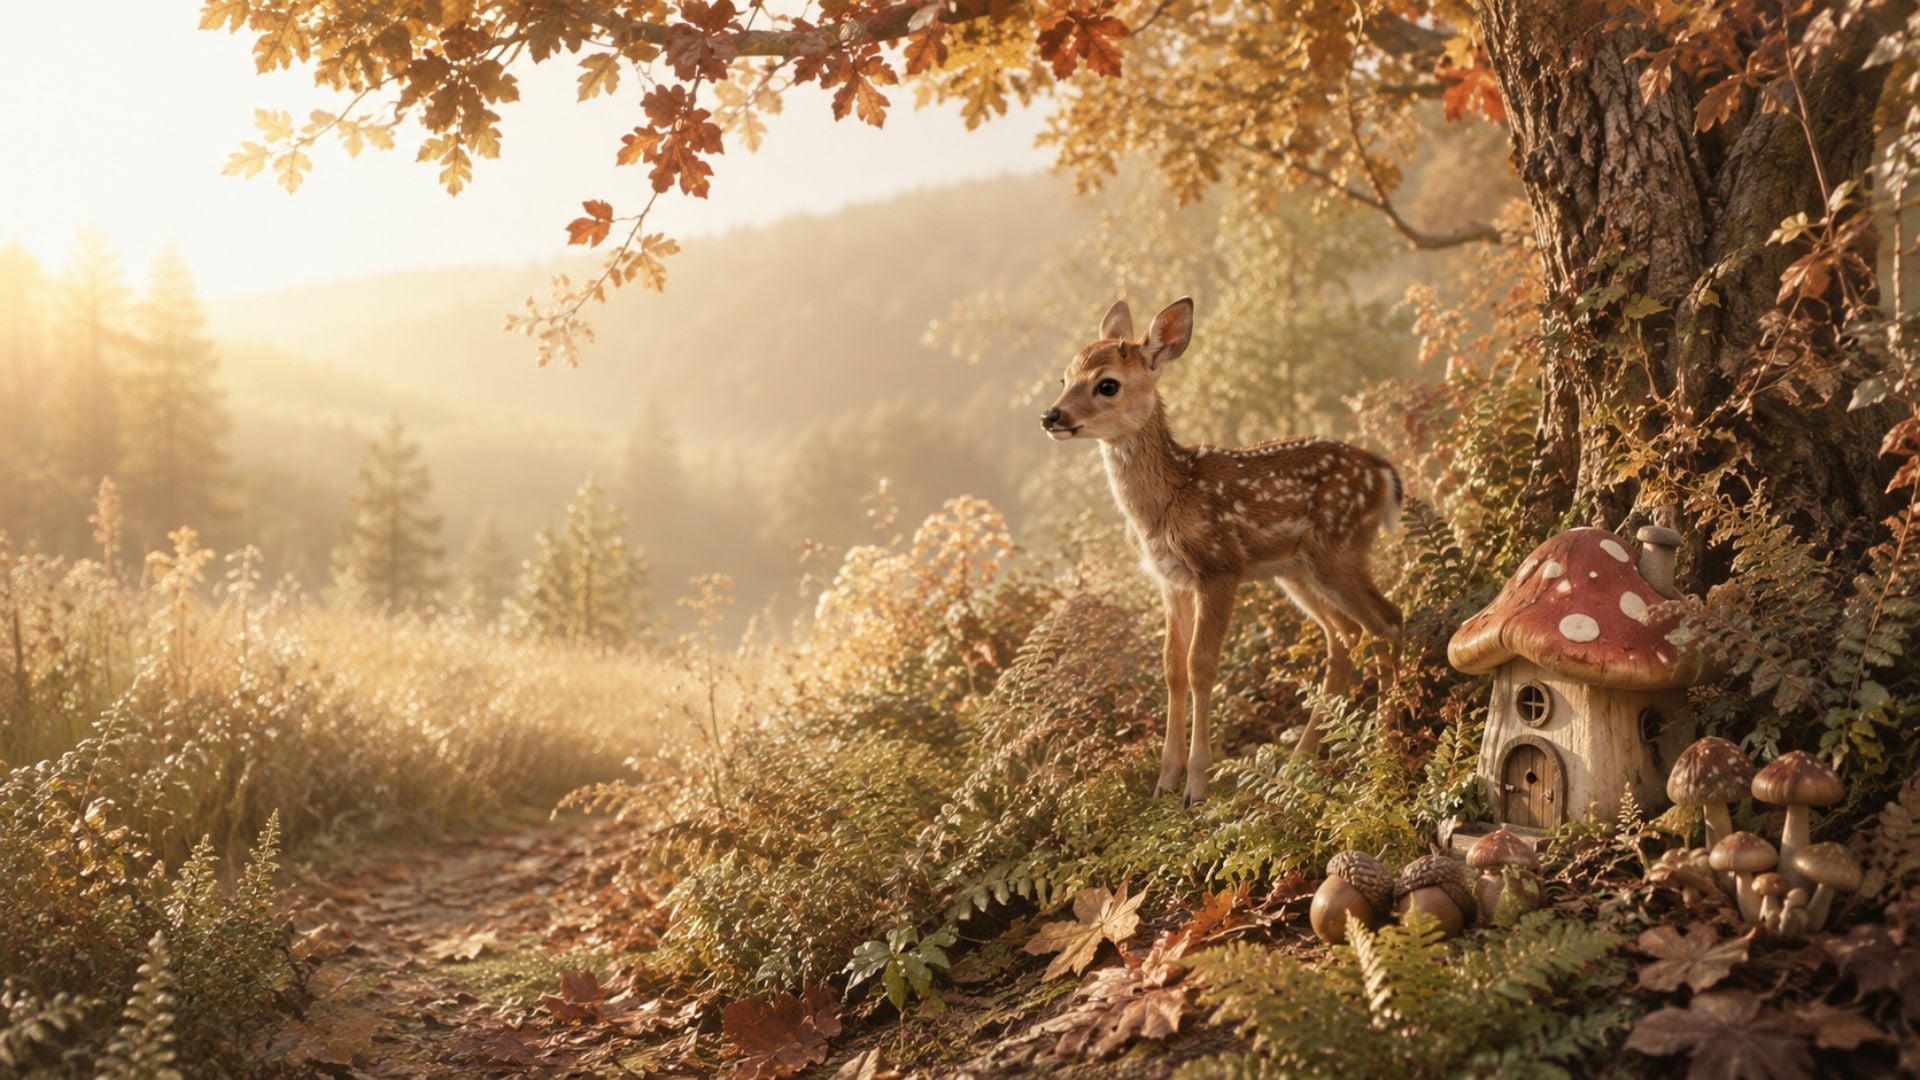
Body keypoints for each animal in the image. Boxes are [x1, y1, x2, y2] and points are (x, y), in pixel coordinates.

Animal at [1041, 297, 1403, 804]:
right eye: (1064, 378)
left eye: (1107, 384)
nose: (1050, 417)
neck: (1167, 503)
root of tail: (1383, 473)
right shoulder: (1169, 580)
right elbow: (1171, 667)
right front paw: (1165, 780)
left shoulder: (1218, 567)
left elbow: (1201, 665)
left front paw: (1197, 783)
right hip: (1296, 570)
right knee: (1347, 635)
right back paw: (1303, 758)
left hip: (1339, 550)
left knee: (1387, 620)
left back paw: (1387, 738)